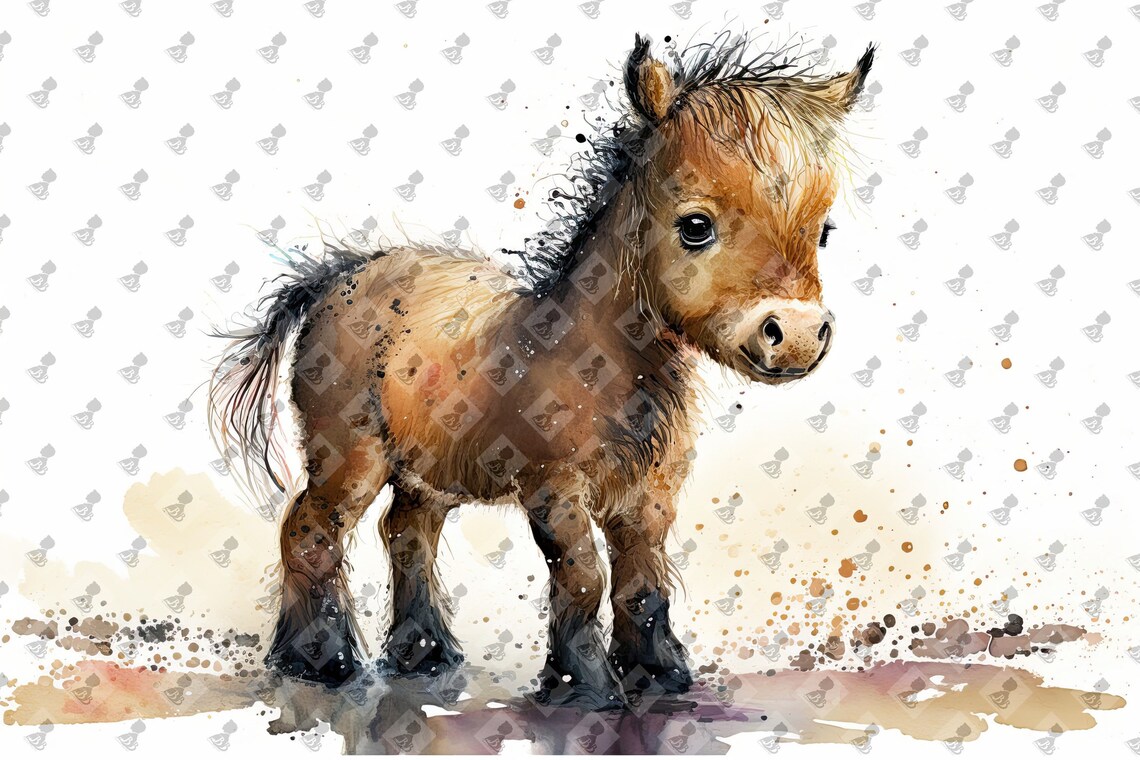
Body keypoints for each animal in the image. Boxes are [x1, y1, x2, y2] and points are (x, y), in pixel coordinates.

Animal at [209, 32, 873, 710]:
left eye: (824, 232)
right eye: (695, 226)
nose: (796, 337)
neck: (596, 362)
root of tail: (337, 276)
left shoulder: (647, 498)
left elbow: (643, 582)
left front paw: (657, 673)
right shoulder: (554, 491)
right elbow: (583, 576)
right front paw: (585, 687)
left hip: (428, 471)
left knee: (406, 533)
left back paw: (424, 653)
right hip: (351, 457)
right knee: (311, 528)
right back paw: (321, 660)